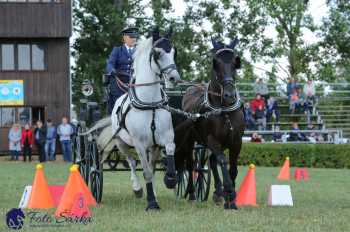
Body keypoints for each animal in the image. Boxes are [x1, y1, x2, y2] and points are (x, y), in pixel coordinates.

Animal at [108, 29, 180, 210]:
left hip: (152, 147)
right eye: (158, 53)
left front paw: (170, 179)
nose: (174, 78)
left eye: (173, 52)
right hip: (121, 143)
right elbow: (145, 172)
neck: (150, 103)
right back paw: (138, 189)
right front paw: (152, 203)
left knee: (151, 166)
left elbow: (168, 154)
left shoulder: (166, 138)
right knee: (132, 163)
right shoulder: (139, 143)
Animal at [174, 39, 245, 209]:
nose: (229, 95)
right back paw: (192, 194)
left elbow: (233, 168)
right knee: (190, 165)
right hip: (190, 141)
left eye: (235, 63)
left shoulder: (236, 141)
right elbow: (223, 161)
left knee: (211, 162)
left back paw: (218, 193)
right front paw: (229, 192)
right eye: (216, 63)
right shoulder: (212, 139)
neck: (225, 110)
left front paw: (230, 199)